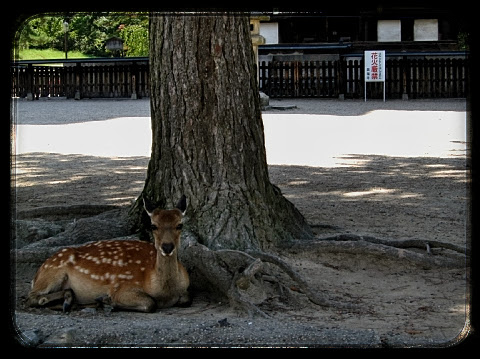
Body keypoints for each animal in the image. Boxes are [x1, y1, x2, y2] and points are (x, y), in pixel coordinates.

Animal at [26, 197, 191, 312]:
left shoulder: (185, 290)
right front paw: (107, 300)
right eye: (153, 225)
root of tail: (38, 272)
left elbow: (185, 299)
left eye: (180, 225)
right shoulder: (121, 287)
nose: (167, 247)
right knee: (31, 297)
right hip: (52, 273)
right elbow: (150, 303)